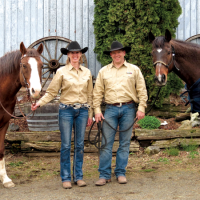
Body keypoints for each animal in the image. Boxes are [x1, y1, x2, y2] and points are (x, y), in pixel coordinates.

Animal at [0, 41, 43, 188]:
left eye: (42, 65)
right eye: (24, 65)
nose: (36, 91)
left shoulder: (4, 124)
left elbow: (1, 150)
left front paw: (5, 179)